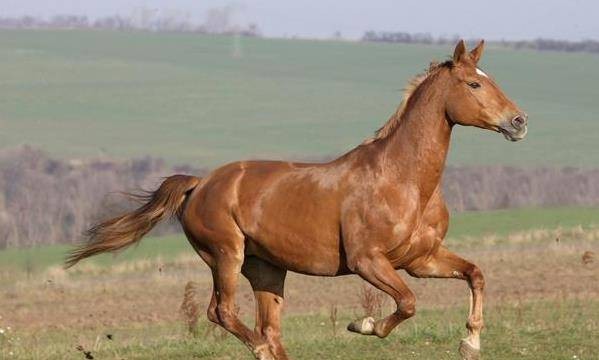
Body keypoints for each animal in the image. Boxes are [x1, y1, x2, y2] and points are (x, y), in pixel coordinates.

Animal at [65, 40, 528, 360]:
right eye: (474, 83)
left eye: (492, 78)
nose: (519, 122)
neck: (404, 181)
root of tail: (200, 184)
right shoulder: (368, 261)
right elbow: (408, 304)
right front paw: (363, 325)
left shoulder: (420, 259)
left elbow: (475, 274)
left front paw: (470, 342)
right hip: (226, 257)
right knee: (224, 313)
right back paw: (258, 348)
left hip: (267, 270)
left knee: (269, 329)